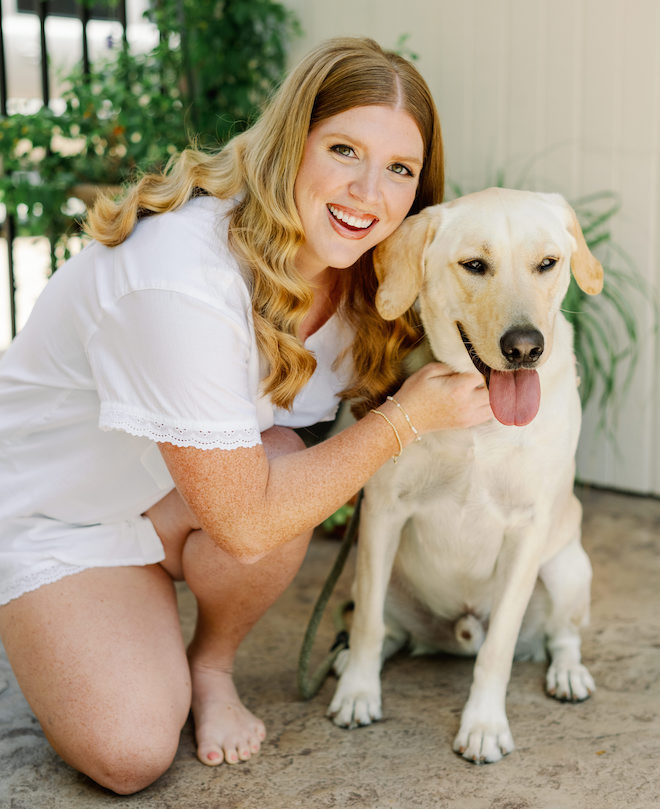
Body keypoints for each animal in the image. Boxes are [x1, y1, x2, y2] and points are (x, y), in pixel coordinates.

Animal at [328, 188, 604, 764]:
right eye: (475, 265)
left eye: (548, 263)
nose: (525, 348)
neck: (482, 416)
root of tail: (455, 630)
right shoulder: (383, 512)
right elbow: (366, 624)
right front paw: (359, 693)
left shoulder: (527, 530)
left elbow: (498, 650)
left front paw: (483, 725)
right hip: (372, 570)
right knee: (379, 622)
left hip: (566, 567)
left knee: (562, 636)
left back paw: (568, 674)